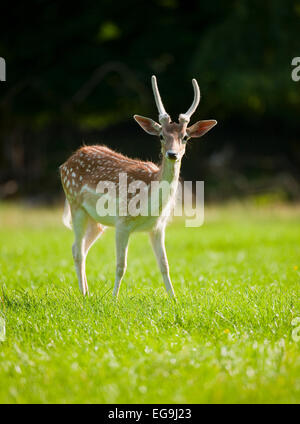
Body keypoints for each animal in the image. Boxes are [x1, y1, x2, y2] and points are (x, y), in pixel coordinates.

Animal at [59, 75, 217, 298]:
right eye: (161, 136)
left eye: (185, 137)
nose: (172, 154)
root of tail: (66, 162)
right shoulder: (122, 221)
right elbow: (120, 265)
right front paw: (114, 299)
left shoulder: (158, 226)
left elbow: (165, 265)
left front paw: (174, 299)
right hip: (76, 205)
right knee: (78, 250)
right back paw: (83, 294)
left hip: (96, 220)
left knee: (79, 247)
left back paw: (87, 293)